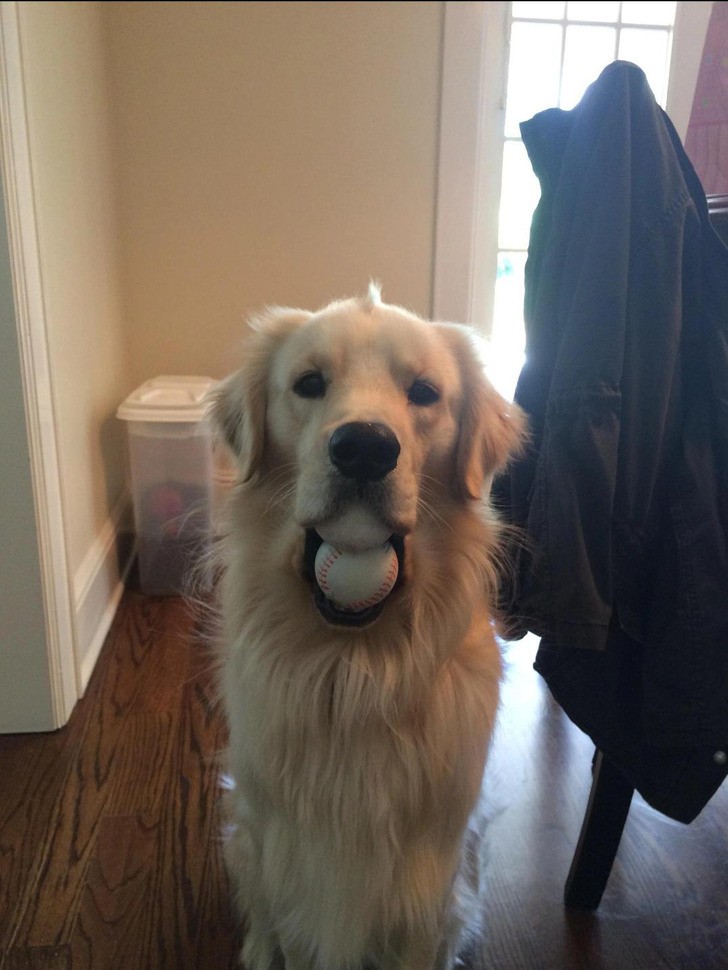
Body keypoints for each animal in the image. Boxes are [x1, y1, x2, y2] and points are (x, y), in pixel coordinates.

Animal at [210, 286, 525, 970]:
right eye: (309, 383)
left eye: (425, 392)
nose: (363, 447)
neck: (353, 672)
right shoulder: (295, 874)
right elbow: (287, 927)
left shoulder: (422, 891)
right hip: (246, 837)